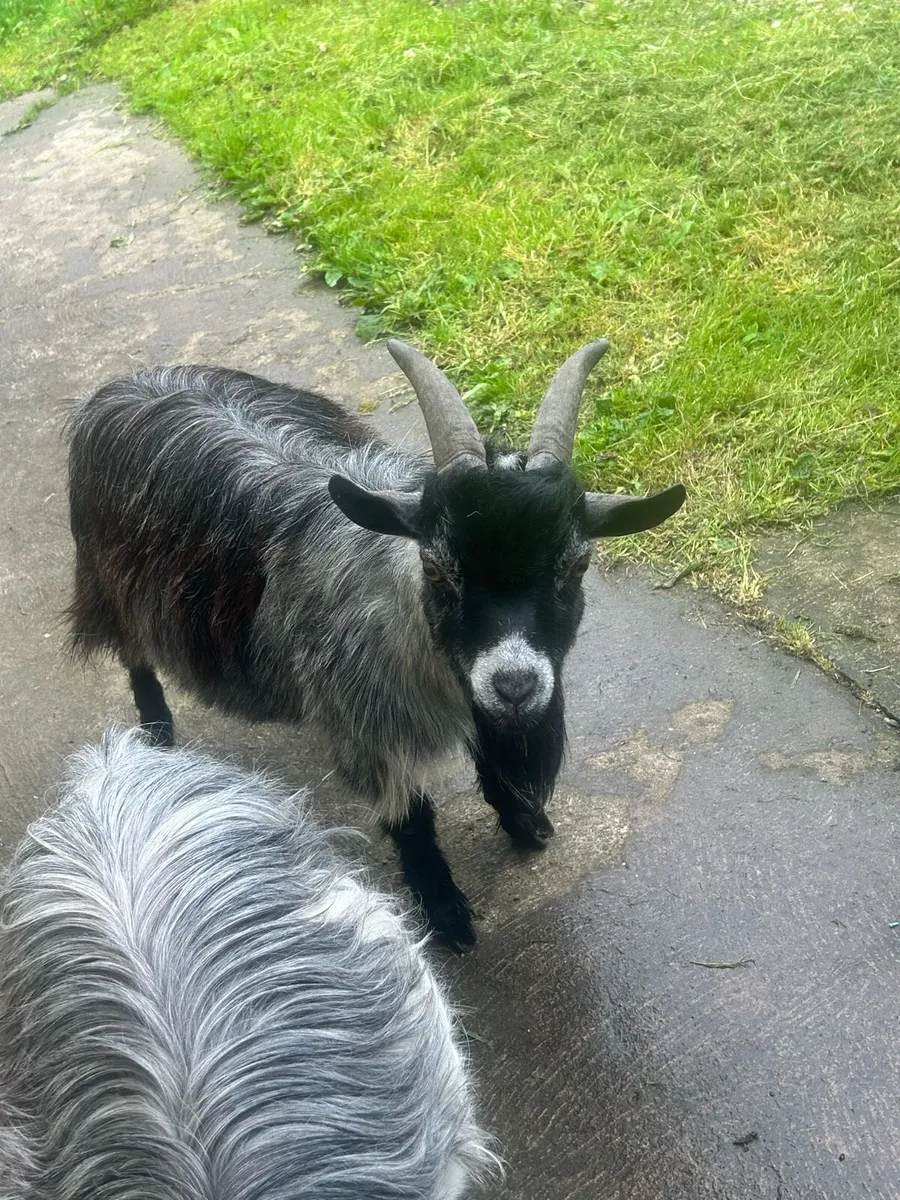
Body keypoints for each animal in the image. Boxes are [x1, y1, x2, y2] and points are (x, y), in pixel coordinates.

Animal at [66, 338, 685, 946]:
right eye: (435, 569)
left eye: (577, 564)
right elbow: (411, 818)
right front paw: (444, 911)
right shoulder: (366, 722)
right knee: (136, 660)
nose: (515, 685)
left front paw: (523, 821)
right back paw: (156, 736)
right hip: (112, 584)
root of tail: (124, 386)